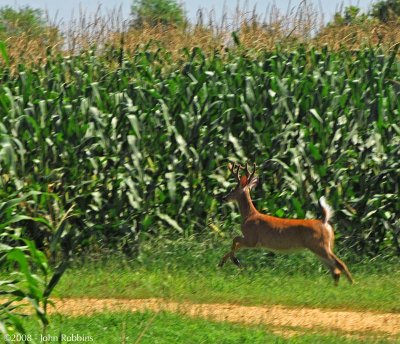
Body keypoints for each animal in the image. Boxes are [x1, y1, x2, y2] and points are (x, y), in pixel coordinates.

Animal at [219, 163, 354, 286]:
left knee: (340, 264)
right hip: (322, 246)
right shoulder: (253, 241)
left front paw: (230, 261)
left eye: (232, 190)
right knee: (335, 269)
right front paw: (229, 261)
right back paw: (337, 286)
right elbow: (236, 242)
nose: (224, 198)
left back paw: (352, 284)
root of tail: (324, 221)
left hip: (320, 245)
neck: (249, 216)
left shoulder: (252, 239)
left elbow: (235, 239)